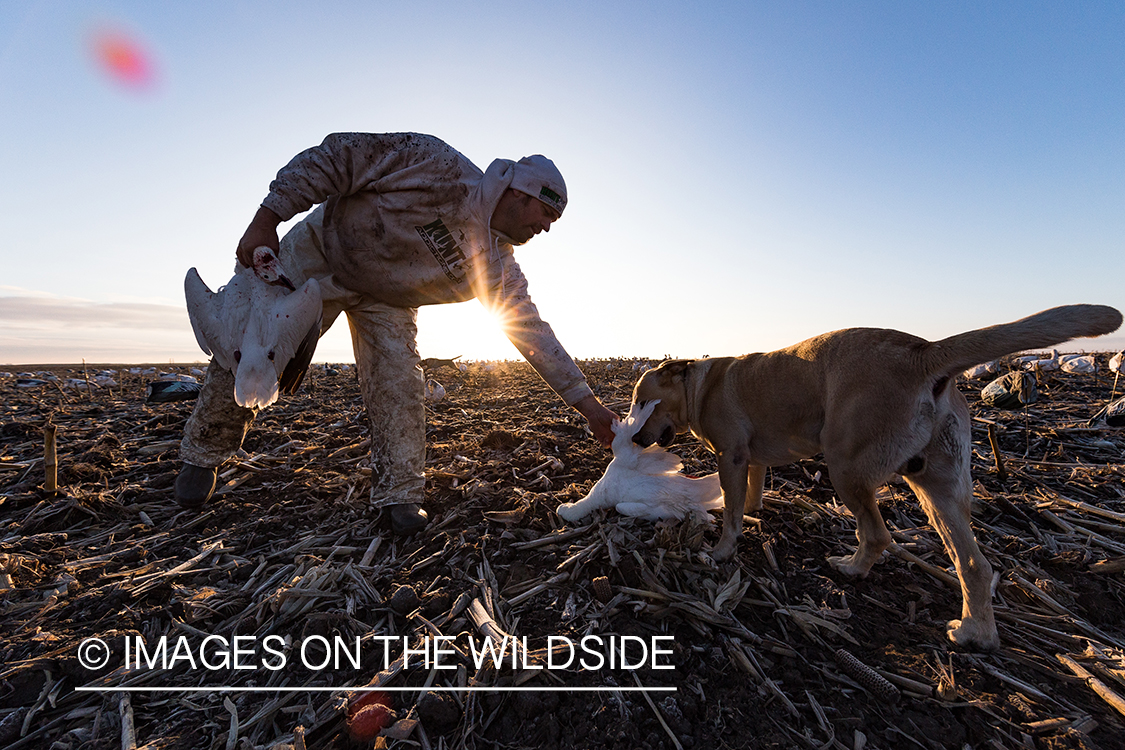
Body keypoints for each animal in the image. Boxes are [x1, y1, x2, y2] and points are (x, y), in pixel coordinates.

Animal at [639, 305, 1120, 652]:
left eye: (643, 401)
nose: (638, 438)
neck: (699, 386)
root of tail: (924, 351)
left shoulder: (732, 456)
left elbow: (733, 513)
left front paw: (720, 551)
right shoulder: (751, 458)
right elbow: (752, 495)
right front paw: (756, 511)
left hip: (846, 465)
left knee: (877, 534)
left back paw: (851, 568)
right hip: (937, 488)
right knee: (974, 565)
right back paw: (975, 634)